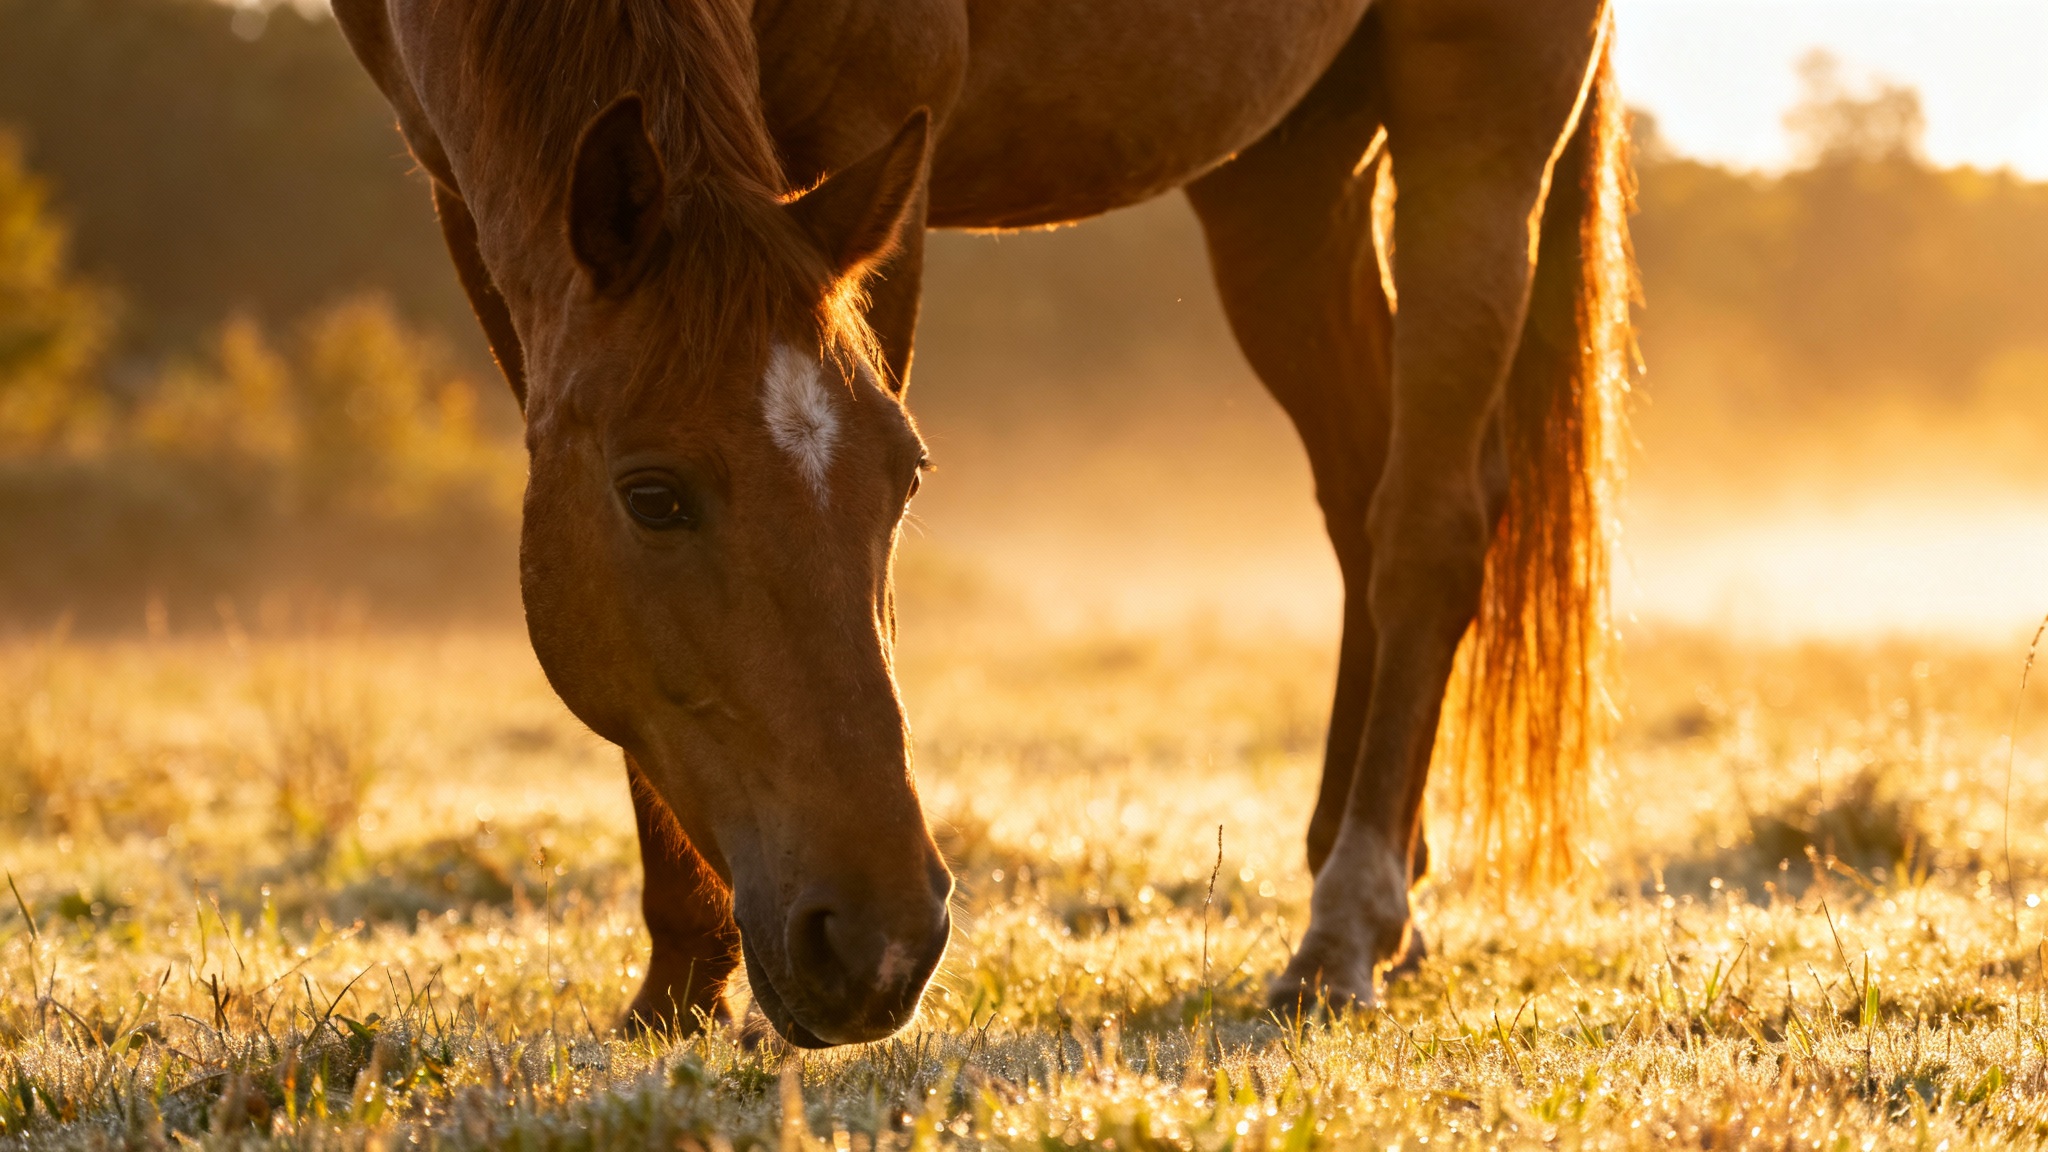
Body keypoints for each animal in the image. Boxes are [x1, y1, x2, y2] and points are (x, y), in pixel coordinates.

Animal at [329, 0, 1632, 1047]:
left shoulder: (873, 132)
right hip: (1286, 173)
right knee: (1360, 500)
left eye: (905, 478)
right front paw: (679, 986)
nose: (878, 941)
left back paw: (1346, 925)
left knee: (1426, 523)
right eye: (651, 495)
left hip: (1477, 115)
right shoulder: (468, 203)